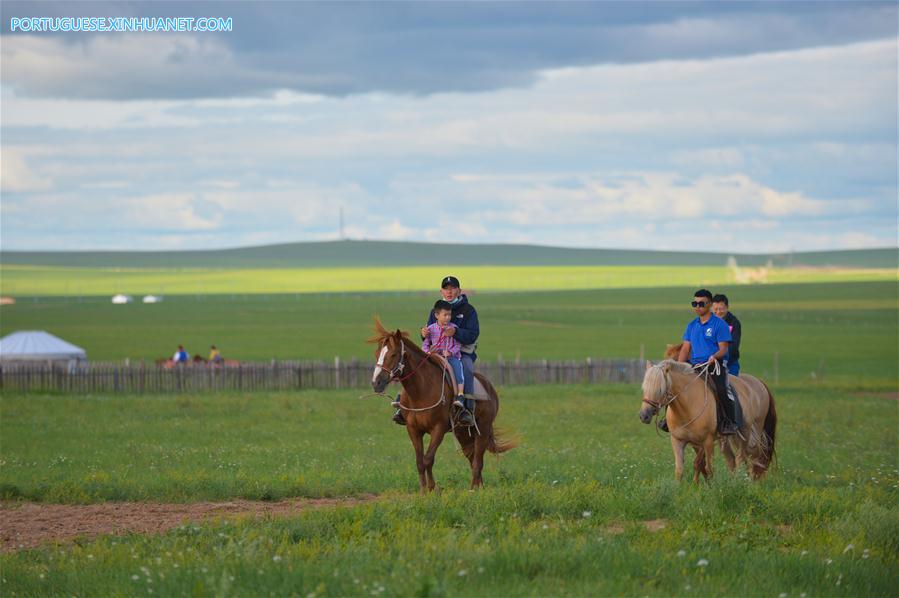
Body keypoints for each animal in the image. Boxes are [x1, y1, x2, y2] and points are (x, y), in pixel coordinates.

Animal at [370, 318, 516, 492]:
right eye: (377, 354)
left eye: (393, 354)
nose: (376, 383)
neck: (422, 390)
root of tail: (489, 387)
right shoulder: (413, 429)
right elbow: (419, 462)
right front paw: (423, 491)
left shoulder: (438, 429)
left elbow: (428, 459)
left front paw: (433, 488)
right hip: (462, 432)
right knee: (471, 456)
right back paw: (478, 486)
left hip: (483, 429)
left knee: (478, 461)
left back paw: (473, 489)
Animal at [636, 356, 776, 482]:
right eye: (644, 388)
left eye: (660, 389)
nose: (644, 416)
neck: (688, 405)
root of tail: (758, 382)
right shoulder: (678, 441)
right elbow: (680, 470)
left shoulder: (707, 441)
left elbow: (705, 467)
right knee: (733, 460)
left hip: (749, 433)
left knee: (748, 457)